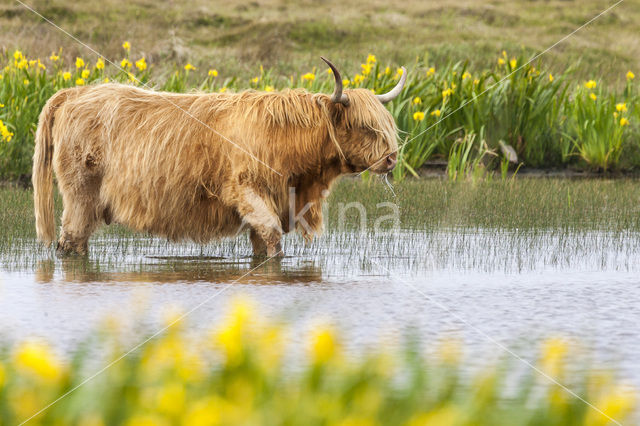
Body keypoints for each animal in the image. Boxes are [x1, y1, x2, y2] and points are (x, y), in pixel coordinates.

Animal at [32, 56, 404, 256]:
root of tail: (75, 93)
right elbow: (272, 237)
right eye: (365, 127)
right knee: (70, 242)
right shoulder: (246, 189)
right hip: (81, 194)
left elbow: (262, 242)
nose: (391, 159)